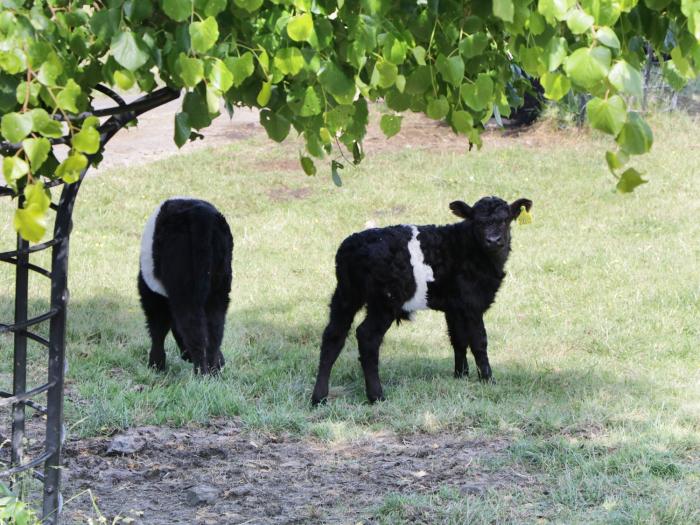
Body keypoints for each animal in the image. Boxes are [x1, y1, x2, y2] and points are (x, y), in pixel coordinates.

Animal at [138, 196, 234, 372]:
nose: (185, 356)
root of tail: (201, 213)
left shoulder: (152, 294)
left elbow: (158, 328)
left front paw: (156, 364)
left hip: (184, 287)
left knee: (193, 328)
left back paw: (201, 371)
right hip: (220, 285)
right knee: (215, 328)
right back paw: (213, 370)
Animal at [310, 194, 532, 404]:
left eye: (505, 220)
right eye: (477, 221)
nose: (493, 240)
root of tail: (352, 247)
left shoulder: (455, 307)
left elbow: (458, 340)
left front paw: (460, 376)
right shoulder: (472, 304)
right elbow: (479, 341)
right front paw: (488, 380)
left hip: (345, 295)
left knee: (333, 336)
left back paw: (319, 398)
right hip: (384, 302)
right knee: (367, 337)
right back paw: (376, 396)